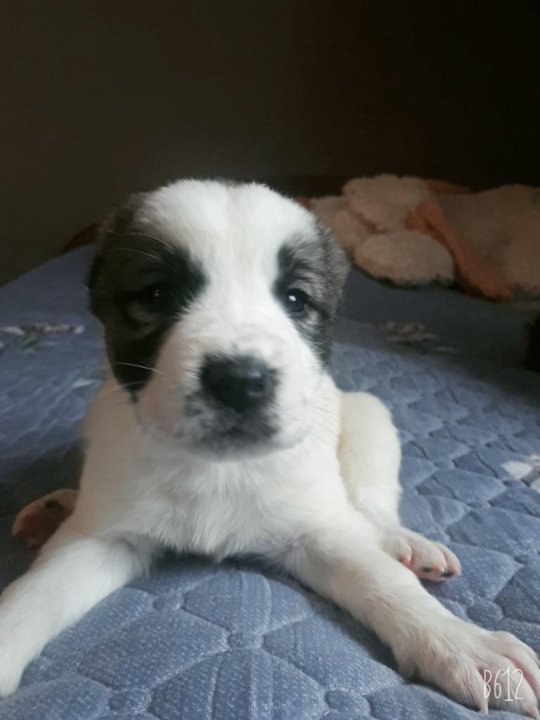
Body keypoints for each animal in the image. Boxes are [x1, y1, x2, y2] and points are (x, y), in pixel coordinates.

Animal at [1, 180, 539, 715]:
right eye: (156, 294)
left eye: (296, 300)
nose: (240, 381)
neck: (218, 466)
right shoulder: (101, 538)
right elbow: (35, 593)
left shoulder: (320, 530)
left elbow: (386, 582)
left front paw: (461, 641)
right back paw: (56, 505)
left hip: (368, 419)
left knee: (368, 508)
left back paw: (404, 541)